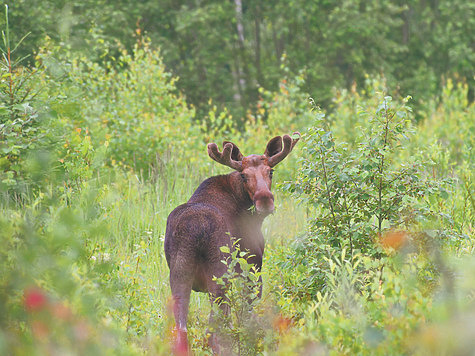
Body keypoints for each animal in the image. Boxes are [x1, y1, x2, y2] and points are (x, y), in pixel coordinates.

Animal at [165, 133, 300, 354]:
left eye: (270, 171)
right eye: (244, 176)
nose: (265, 200)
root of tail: (195, 229)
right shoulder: (253, 266)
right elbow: (247, 315)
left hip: (179, 274)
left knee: (182, 330)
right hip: (219, 274)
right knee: (213, 330)